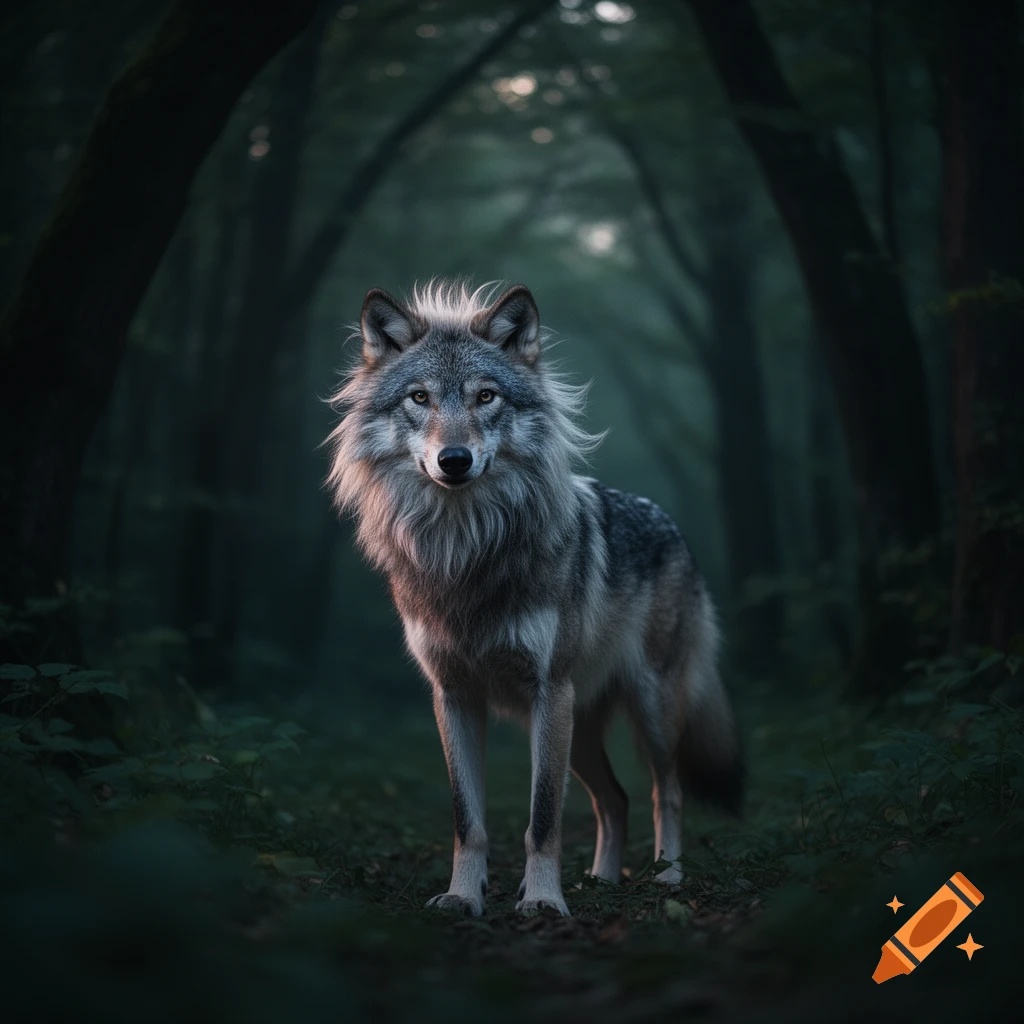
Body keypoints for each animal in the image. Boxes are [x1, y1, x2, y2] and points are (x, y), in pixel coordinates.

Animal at [325, 280, 744, 917]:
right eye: (420, 398)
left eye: (486, 396)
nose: (454, 460)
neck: (466, 550)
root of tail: (672, 525)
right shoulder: (454, 696)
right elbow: (467, 819)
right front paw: (463, 896)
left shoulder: (549, 691)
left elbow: (542, 817)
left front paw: (544, 900)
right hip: (579, 730)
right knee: (613, 799)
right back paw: (600, 882)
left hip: (643, 708)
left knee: (663, 792)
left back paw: (667, 878)